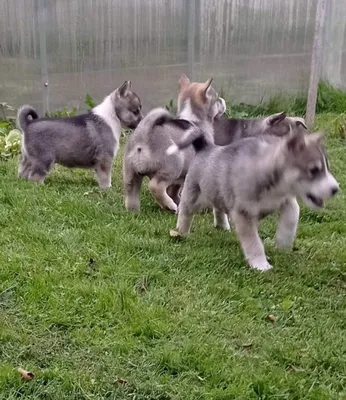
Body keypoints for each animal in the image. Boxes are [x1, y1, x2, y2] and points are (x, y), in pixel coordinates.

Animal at [123, 74, 226, 212]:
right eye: (216, 99)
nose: (223, 100)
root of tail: (144, 132)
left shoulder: (180, 179)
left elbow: (173, 190)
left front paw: (177, 200)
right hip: (173, 166)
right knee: (155, 186)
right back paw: (170, 205)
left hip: (131, 175)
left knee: (131, 194)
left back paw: (136, 210)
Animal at [169, 124, 340, 272]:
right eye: (314, 170)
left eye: (327, 169)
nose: (335, 189)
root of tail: (206, 147)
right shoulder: (243, 213)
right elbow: (254, 242)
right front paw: (261, 264)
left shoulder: (287, 201)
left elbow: (291, 219)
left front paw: (283, 244)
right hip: (195, 198)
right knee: (185, 211)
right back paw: (181, 232)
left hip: (217, 191)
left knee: (218, 207)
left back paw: (222, 225)